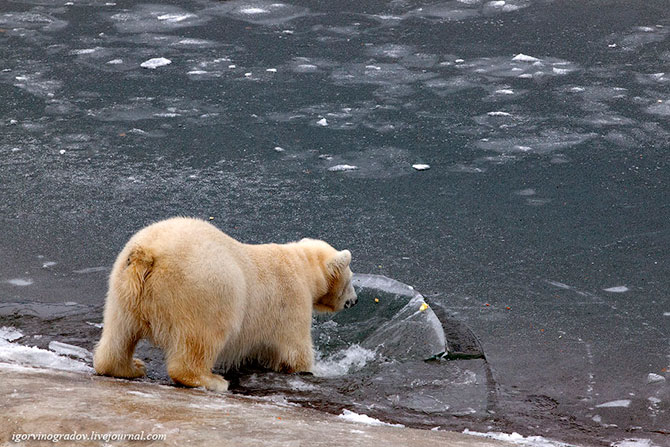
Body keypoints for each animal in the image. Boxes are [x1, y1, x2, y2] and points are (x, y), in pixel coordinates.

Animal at [93, 217, 362, 392]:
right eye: (351, 278)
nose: (355, 300)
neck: (302, 265)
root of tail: (148, 254)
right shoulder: (292, 300)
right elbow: (295, 352)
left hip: (123, 285)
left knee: (119, 332)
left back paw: (129, 367)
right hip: (204, 290)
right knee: (201, 339)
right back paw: (212, 380)